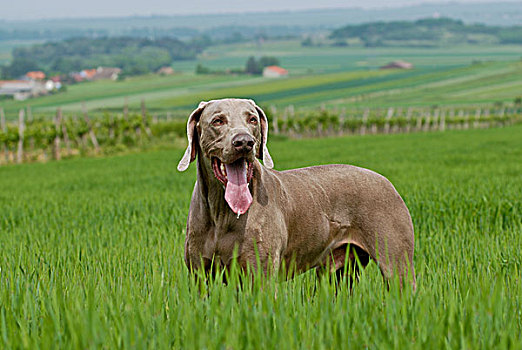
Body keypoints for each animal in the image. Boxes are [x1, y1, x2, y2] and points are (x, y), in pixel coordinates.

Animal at [177, 98, 412, 288]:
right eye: (217, 121)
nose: (244, 142)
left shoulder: (260, 276)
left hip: (397, 263)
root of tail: (387, 181)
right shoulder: (200, 277)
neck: (222, 212)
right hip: (339, 272)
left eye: (252, 120)